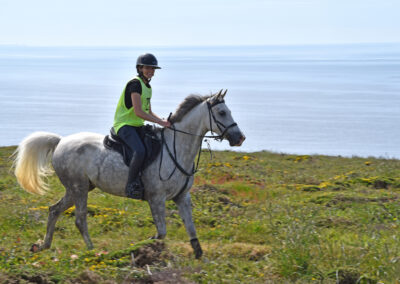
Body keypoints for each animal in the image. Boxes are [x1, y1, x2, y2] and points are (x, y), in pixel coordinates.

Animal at [13, 90, 244, 258]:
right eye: (222, 113)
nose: (239, 137)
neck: (176, 148)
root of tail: (60, 141)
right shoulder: (156, 198)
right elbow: (161, 232)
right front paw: (137, 248)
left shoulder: (182, 197)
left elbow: (191, 229)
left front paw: (199, 257)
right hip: (79, 188)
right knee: (79, 219)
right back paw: (92, 250)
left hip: (76, 188)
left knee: (54, 210)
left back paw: (43, 245)